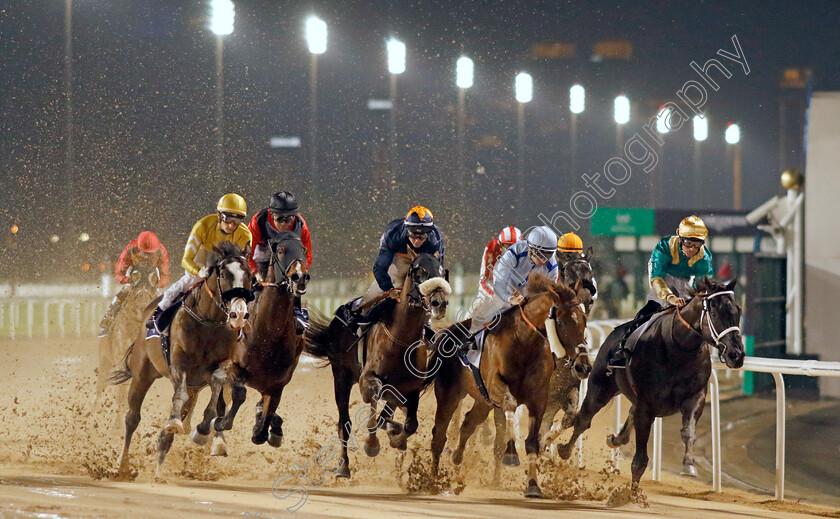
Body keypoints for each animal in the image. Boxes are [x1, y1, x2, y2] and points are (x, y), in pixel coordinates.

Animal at [110, 242, 253, 482]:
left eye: (250, 275)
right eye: (224, 274)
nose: (239, 314)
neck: (208, 322)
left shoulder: (219, 366)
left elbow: (217, 387)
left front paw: (203, 430)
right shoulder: (179, 364)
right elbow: (180, 395)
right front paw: (174, 422)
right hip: (142, 372)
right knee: (132, 418)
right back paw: (123, 465)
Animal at [213, 234, 312, 448]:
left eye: (304, 249)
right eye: (281, 250)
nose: (300, 277)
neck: (268, 336)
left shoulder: (277, 384)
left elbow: (262, 428)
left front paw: (267, 427)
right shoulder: (232, 365)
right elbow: (238, 393)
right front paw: (222, 422)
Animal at [306, 253, 452, 480]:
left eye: (440, 270)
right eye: (418, 272)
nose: (439, 303)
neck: (402, 340)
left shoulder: (412, 386)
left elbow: (410, 423)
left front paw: (397, 438)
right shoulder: (367, 377)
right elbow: (374, 399)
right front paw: (374, 442)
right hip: (341, 376)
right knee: (345, 423)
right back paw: (344, 466)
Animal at [430, 276, 592, 500]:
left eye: (584, 320)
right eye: (560, 322)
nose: (584, 366)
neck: (523, 343)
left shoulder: (539, 400)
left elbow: (533, 440)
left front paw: (533, 484)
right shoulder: (496, 387)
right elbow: (510, 405)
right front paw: (511, 454)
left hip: (483, 402)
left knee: (468, 424)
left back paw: (456, 458)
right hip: (450, 394)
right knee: (439, 434)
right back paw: (431, 480)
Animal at [556, 278, 740, 490]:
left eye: (738, 311)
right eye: (715, 313)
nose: (737, 354)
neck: (679, 349)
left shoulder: (695, 397)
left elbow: (688, 430)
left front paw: (689, 465)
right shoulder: (647, 405)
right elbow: (640, 459)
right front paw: (632, 492)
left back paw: (616, 438)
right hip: (600, 387)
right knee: (583, 419)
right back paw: (564, 450)